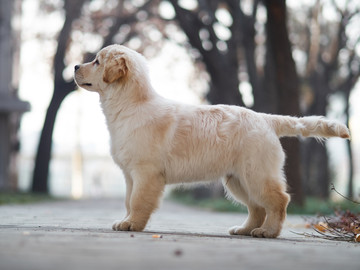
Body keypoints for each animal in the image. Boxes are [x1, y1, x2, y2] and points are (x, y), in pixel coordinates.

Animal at [74, 44, 352, 238]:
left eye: (96, 61)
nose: (75, 66)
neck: (131, 104)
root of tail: (265, 119)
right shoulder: (130, 174)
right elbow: (128, 200)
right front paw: (126, 220)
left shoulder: (145, 172)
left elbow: (137, 201)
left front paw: (132, 224)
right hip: (238, 178)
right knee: (257, 207)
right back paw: (245, 230)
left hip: (256, 173)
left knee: (278, 201)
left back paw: (268, 231)